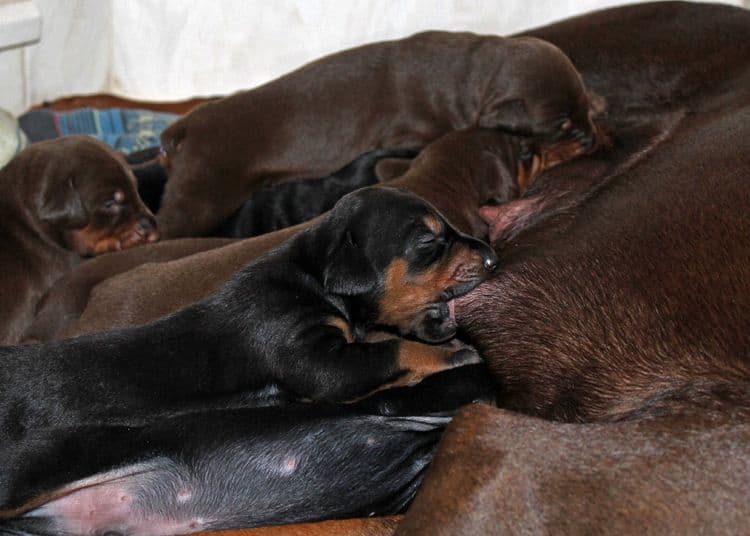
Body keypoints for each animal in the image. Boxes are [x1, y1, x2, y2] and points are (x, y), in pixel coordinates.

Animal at [1, 186, 500, 434]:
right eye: (428, 240)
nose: (494, 258)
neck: (315, 280)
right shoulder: (313, 357)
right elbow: (395, 351)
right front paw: (456, 353)